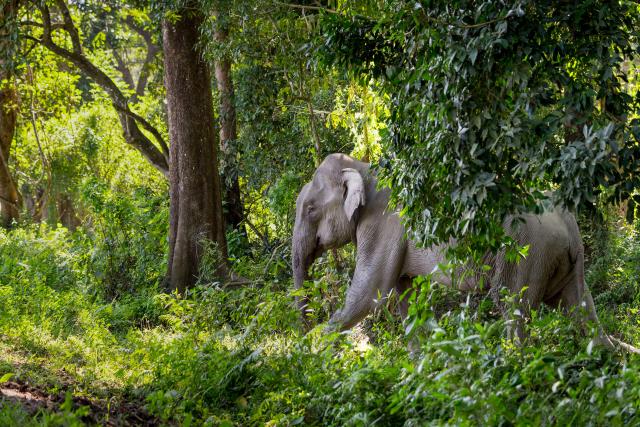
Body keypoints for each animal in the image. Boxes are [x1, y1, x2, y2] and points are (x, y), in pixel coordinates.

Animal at [292, 153, 639, 352]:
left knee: (512, 306)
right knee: (579, 307)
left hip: (525, 252)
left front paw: (310, 350)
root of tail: (567, 221)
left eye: (310, 209)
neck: (363, 167)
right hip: (566, 259)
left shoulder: (384, 224)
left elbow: (369, 296)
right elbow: (406, 298)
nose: (303, 327)